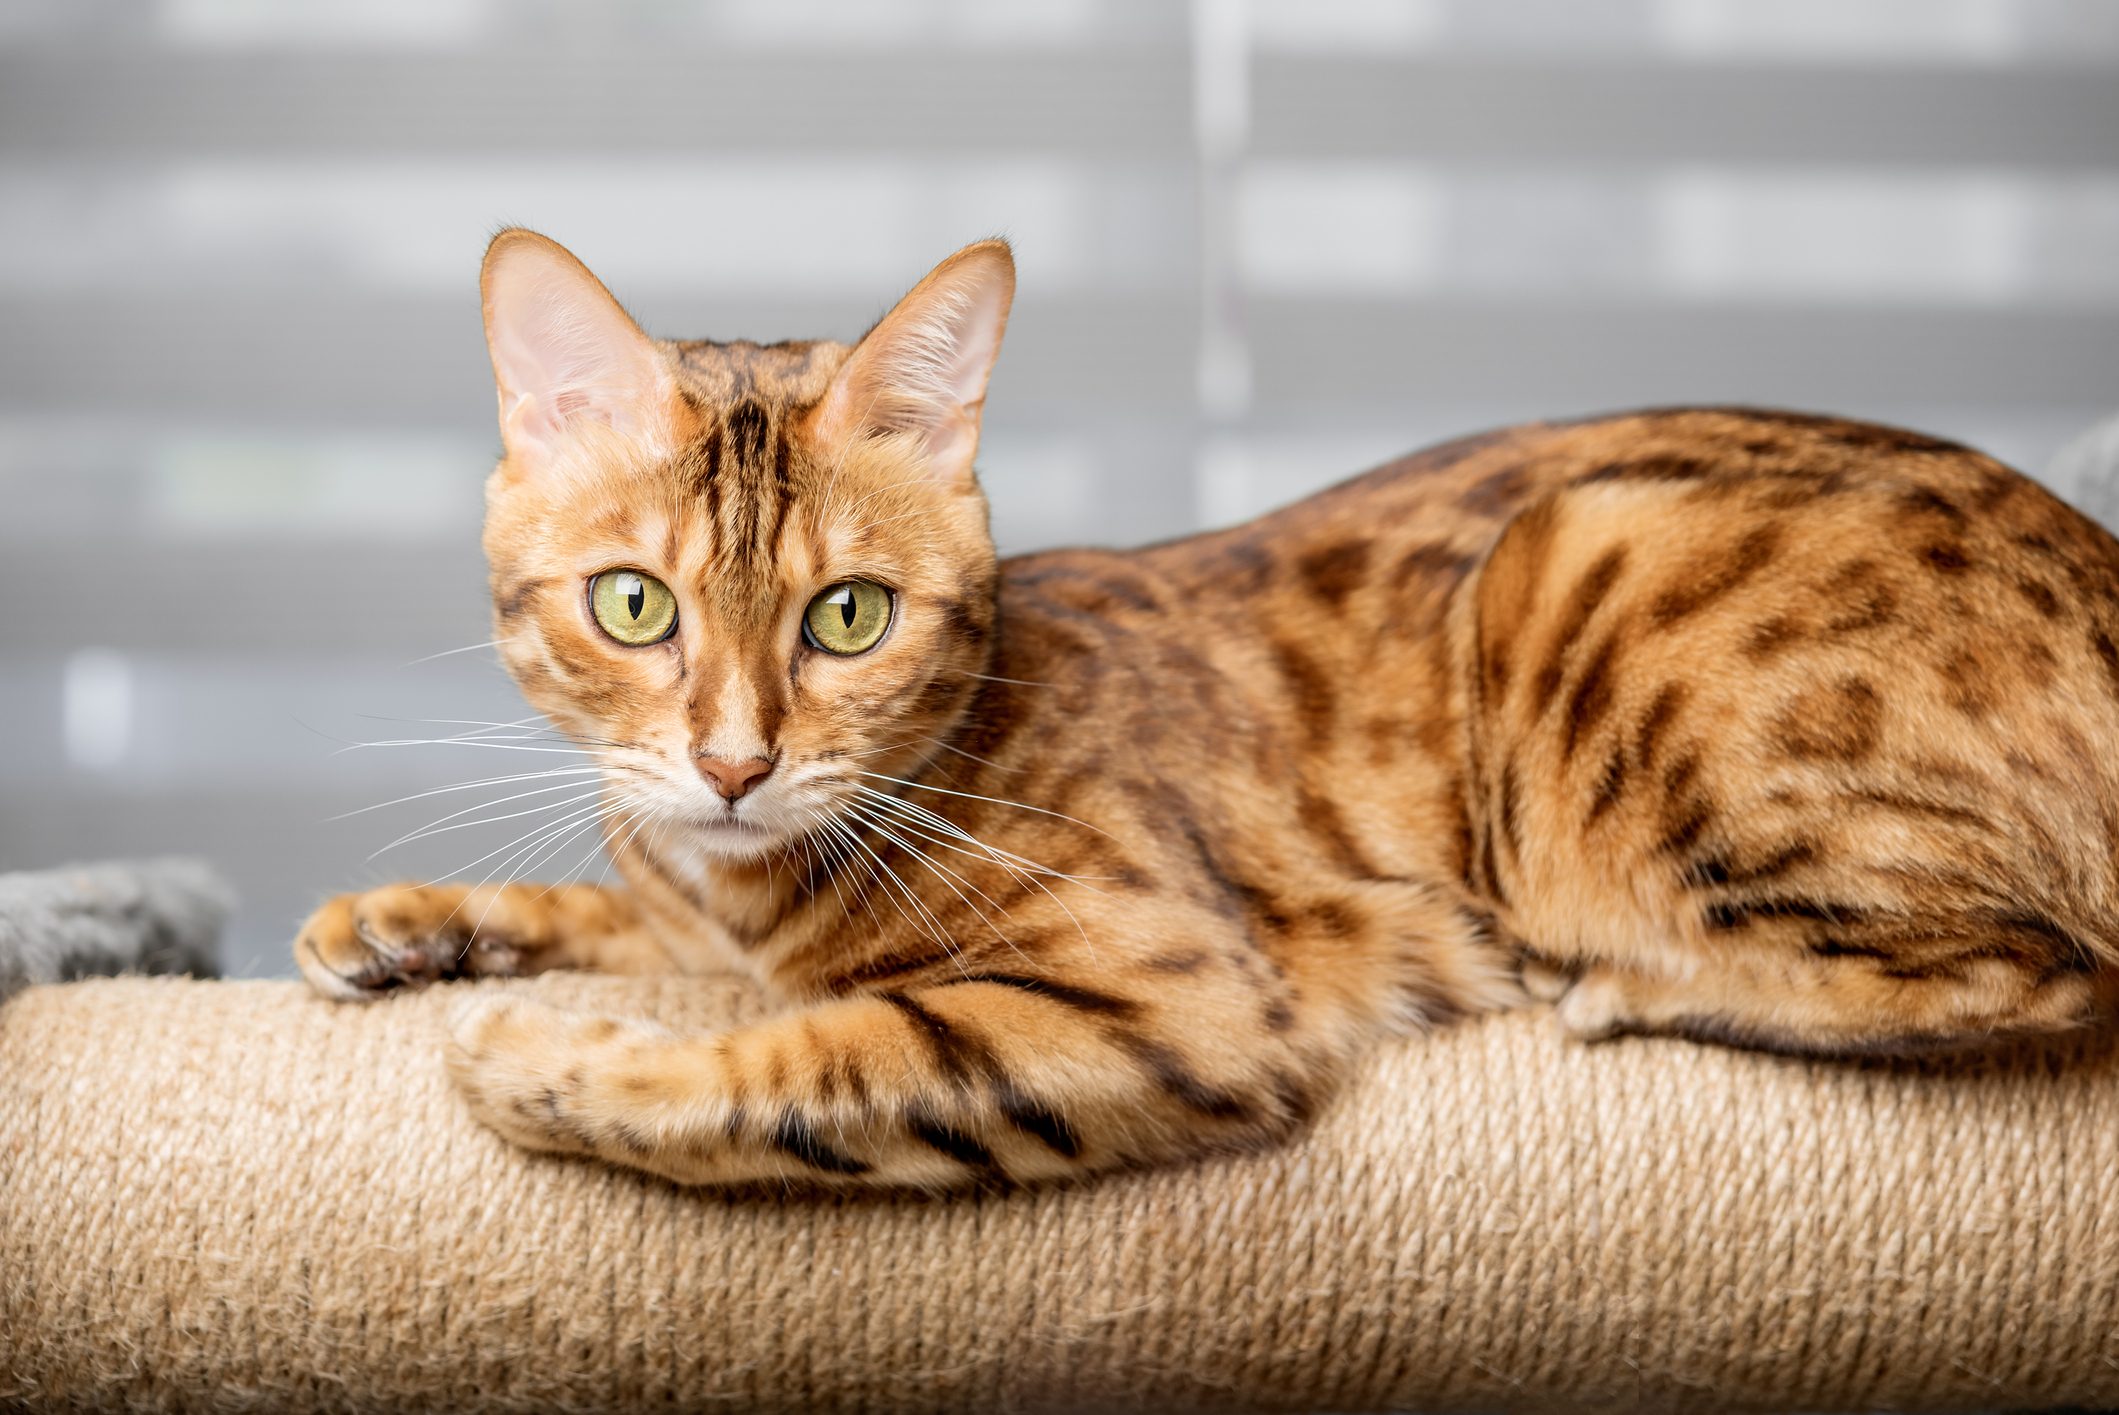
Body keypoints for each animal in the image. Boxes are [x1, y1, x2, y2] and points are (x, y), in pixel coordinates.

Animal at [294, 237, 2119, 1186]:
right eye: (633, 605)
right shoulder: (690, 892)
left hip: (1582, 551)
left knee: (2038, 969)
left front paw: (543, 1056)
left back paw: (1620, 983)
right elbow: (618, 909)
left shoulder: (1166, 999)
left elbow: (797, 1061)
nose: (737, 759)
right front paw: (409, 923)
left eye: (846, 616)